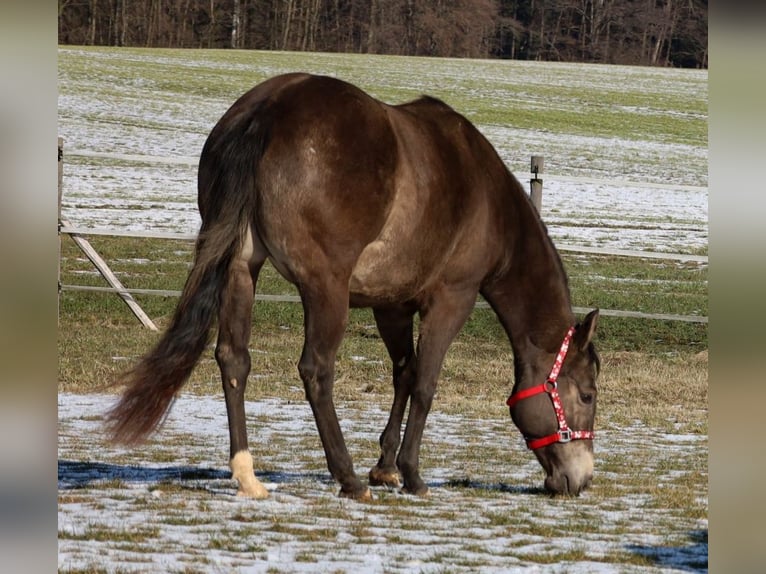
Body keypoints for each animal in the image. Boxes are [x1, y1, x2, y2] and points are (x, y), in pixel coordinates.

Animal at [106, 73, 600, 500]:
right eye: (588, 394)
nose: (581, 479)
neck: (490, 202)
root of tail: (268, 109)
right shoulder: (451, 298)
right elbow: (425, 383)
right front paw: (411, 474)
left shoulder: (392, 305)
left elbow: (403, 375)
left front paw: (385, 466)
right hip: (326, 288)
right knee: (317, 371)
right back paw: (346, 477)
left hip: (240, 269)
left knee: (234, 360)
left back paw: (248, 475)